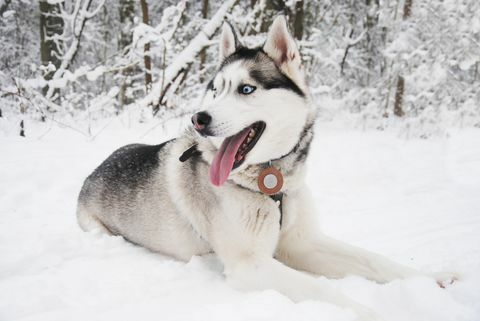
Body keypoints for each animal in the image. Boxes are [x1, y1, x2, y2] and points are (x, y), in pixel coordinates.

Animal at [77, 16, 456, 318]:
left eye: (246, 89)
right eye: (215, 90)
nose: (198, 118)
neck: (271, 183)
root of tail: (97, 167)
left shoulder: (303, 243)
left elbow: (374, 260)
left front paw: (434, 278)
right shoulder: (251, 265)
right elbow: (322, 289)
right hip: (100, 230)